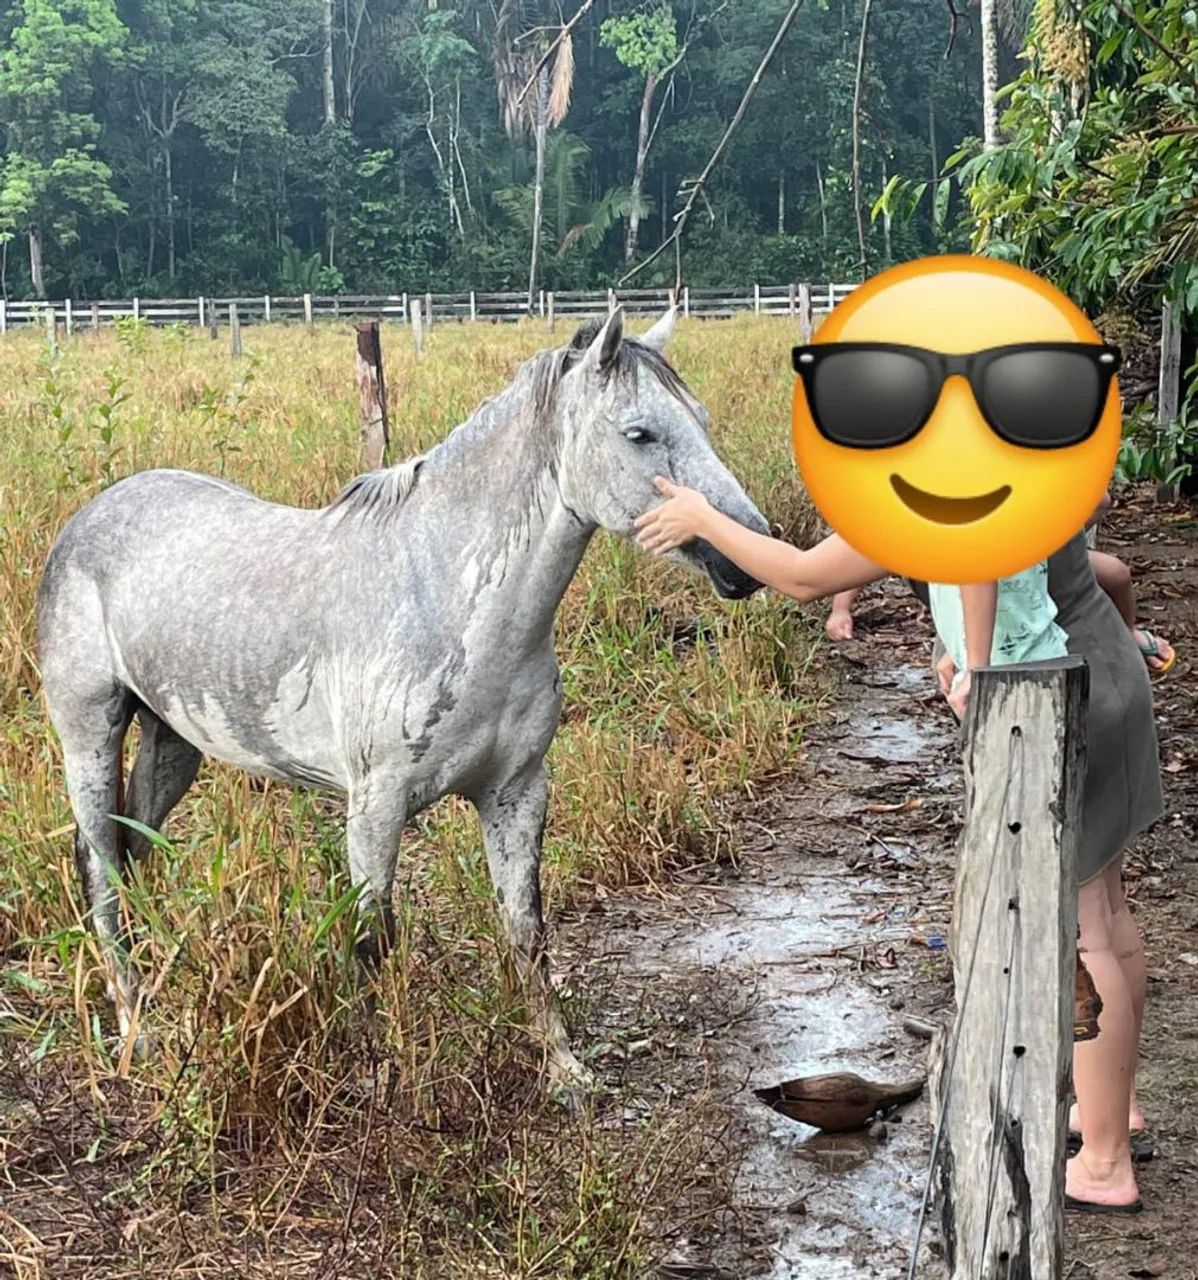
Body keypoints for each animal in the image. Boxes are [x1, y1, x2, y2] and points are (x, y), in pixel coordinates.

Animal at [36, 306, 770, 1096]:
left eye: (700, 418)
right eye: (640, 433)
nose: (751, 555)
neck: (445, 597)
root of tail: (90, 516)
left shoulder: (517, 793)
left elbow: (526, 930)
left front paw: (566, 1071)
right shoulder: (375, 808)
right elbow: (373, 941)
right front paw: (382, 1079)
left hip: (174, 741)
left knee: (132, 850)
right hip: (90, 733)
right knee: (99, 866)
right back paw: (135, 1030)